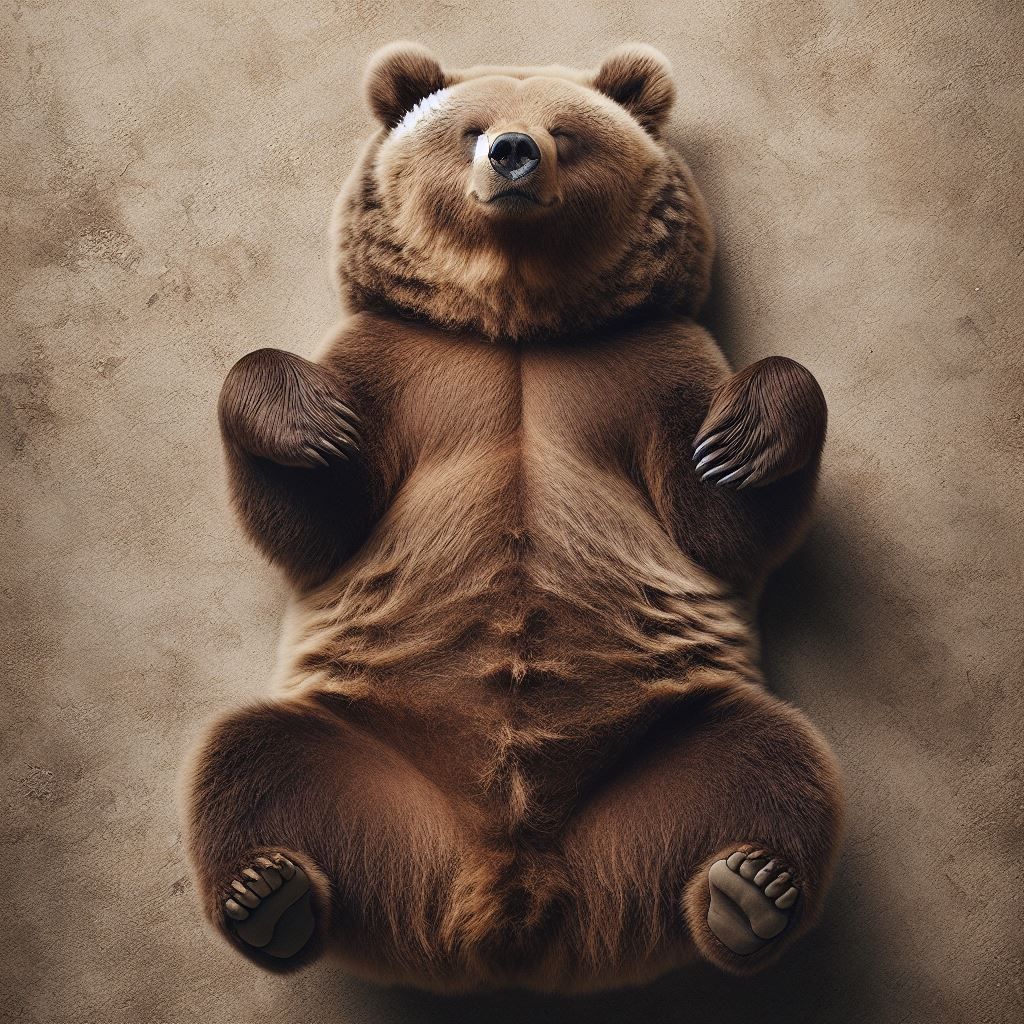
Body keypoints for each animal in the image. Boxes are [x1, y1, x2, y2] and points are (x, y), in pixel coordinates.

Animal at [183, 41, 844, 992]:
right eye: (469, 128)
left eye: (566, 131)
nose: (513, 153)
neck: (516, 327)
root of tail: (510, 901)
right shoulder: (398, 366)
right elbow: (316, 518)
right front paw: (308, 423)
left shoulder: (649, 367)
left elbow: (720, 518)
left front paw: (748, 436)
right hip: (369, 756)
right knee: (255, 752)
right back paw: (269, 894)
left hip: (673, 740)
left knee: (768, 757)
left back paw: (749, 889)